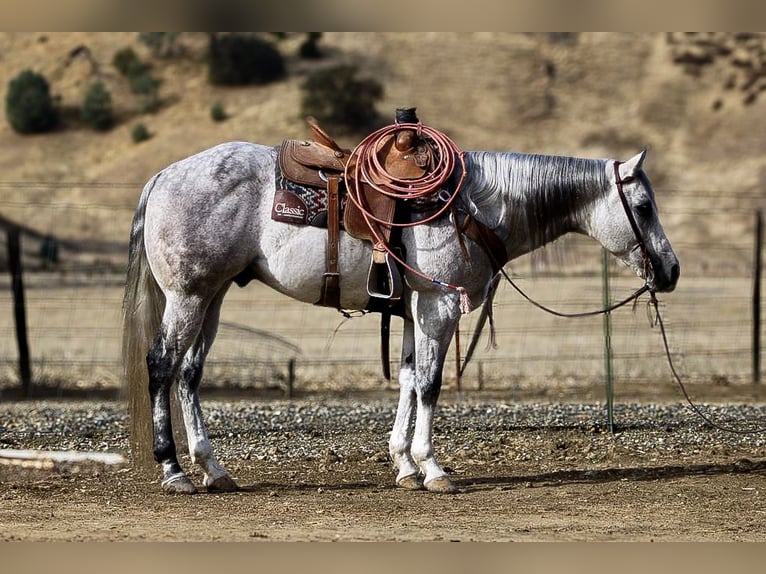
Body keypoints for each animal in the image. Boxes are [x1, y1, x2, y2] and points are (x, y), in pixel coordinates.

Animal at [123, 144, 680, 496]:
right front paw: (432, 467)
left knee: (189, 373)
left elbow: (410, 379)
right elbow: (431, 384)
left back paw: (213, 468)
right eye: (644, 206)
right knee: (161, 365)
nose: (671, 270)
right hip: (188, 296)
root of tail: (164, 176)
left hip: (211, 297)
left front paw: (404, 463)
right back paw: (173, 469)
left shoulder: (414, 310)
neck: (474, 207)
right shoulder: (439, 305)